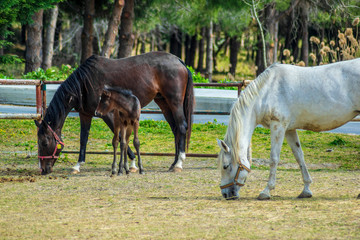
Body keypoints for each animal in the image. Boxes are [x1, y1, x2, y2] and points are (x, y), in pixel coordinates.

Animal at [34, 51, 194, 174]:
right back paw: (173, 163)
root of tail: (179, 61)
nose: (43, 170)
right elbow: (83, 139)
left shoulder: (108, 115)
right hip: (163, 103)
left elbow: (120, 138)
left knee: (181, 127)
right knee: (175, 129)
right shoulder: (85, 114)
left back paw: (179, 163)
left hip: (175, 102)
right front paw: (77, 165)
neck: (85, 83)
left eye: (44, 142)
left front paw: (132, 164)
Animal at [217, 58, 360, 201]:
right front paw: (306, 190)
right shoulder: (289, 130)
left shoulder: (278, 126)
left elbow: (274, 158)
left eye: (225, 166)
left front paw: (266, 191)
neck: (266, 92)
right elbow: (299, 156)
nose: (225, 194)